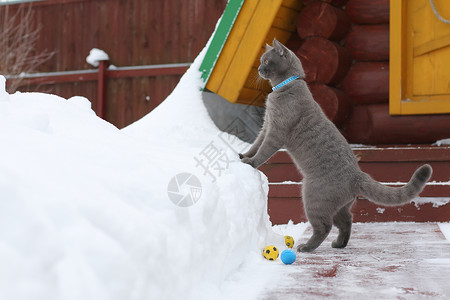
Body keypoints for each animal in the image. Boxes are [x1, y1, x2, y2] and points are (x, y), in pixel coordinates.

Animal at [239, 38, 432, 252]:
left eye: (266, 61)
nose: (258, 69)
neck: (282, 89)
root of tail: (358, 175)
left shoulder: (276, 131)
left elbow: (263, 151)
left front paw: (250, 162)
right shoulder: (266, 125)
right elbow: (255, 144)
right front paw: (243, 155)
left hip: (312, 198)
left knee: (324, 226)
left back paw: (306, 247)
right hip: (340, 206)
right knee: (347, 220)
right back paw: (339, 244)